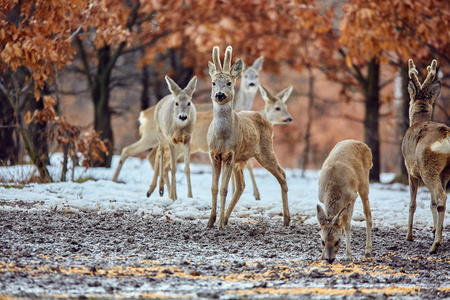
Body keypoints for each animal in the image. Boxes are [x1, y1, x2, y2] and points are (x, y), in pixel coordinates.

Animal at [207, 44, 288, 229]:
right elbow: (214, 188)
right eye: (213, 82)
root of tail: (266, 120)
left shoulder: (230, 154)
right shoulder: (213, 154)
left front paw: (219, 224)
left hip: (265, 151)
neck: (221, 137)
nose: (219, 94)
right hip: (242, 158)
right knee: (241, 186)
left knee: (282, 174)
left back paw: (287, 220)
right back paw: (227, 218)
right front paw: (211, 221)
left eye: (229, 82)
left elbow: (223, 189)